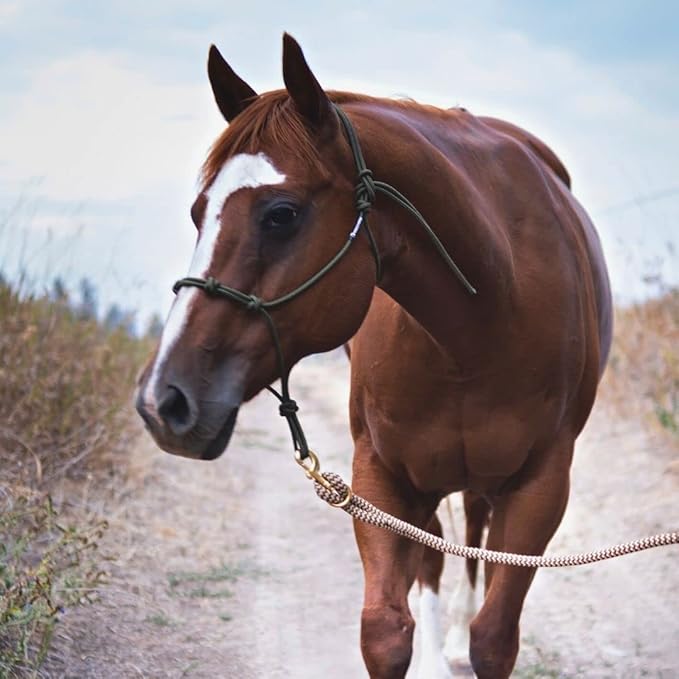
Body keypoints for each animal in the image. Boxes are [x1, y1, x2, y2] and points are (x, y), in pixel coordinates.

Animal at [136, 34, 612, 678]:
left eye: (281, 214)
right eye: (197, 213)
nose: (164, 400)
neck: (483, 319)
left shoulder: (540, 487)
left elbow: (494, 635)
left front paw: (467, 636)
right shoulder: (381, 477)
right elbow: (385, 630)